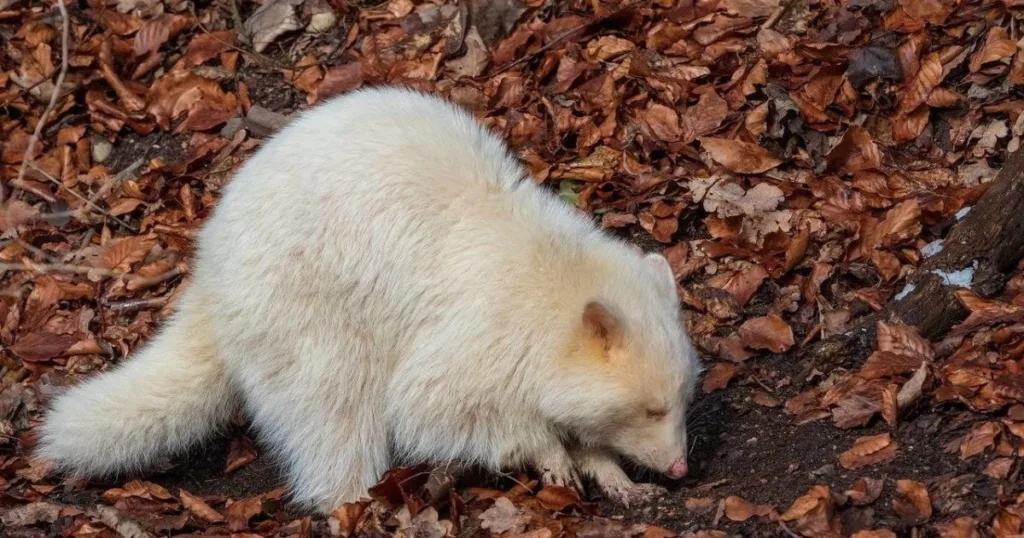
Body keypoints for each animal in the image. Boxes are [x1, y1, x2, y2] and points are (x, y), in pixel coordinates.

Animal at [36, 86, 700, 510]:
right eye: (651, 409)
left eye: (679, 399)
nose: (681, 467)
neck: (556, 273)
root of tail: (209, 272)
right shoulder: (477, 330)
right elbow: (434, 406)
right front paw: (548, 449)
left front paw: (605, 466)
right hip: (302, 310)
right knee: (335, 406)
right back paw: (352, 498)